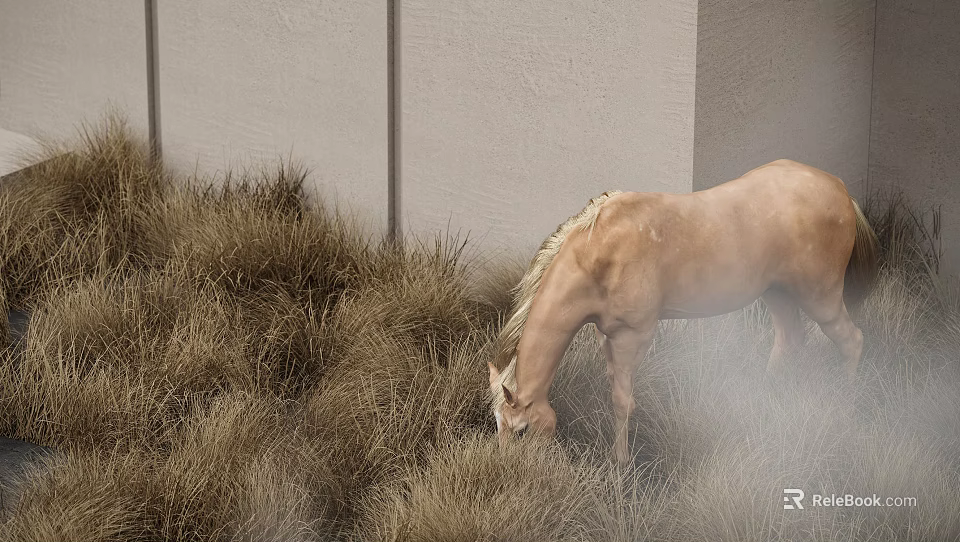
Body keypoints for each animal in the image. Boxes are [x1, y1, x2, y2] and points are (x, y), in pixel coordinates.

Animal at [487, 159, 880, 464]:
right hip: (777, 294)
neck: (599, 251)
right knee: (789, 340)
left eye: (521, 431)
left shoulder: (633, 337)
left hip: (820, 298)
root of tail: (840, 189)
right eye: (498, 427)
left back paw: (845, 406)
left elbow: (621, 401)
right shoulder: (607, 335)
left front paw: (621, 463)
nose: (509, 470)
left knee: (852, 341)